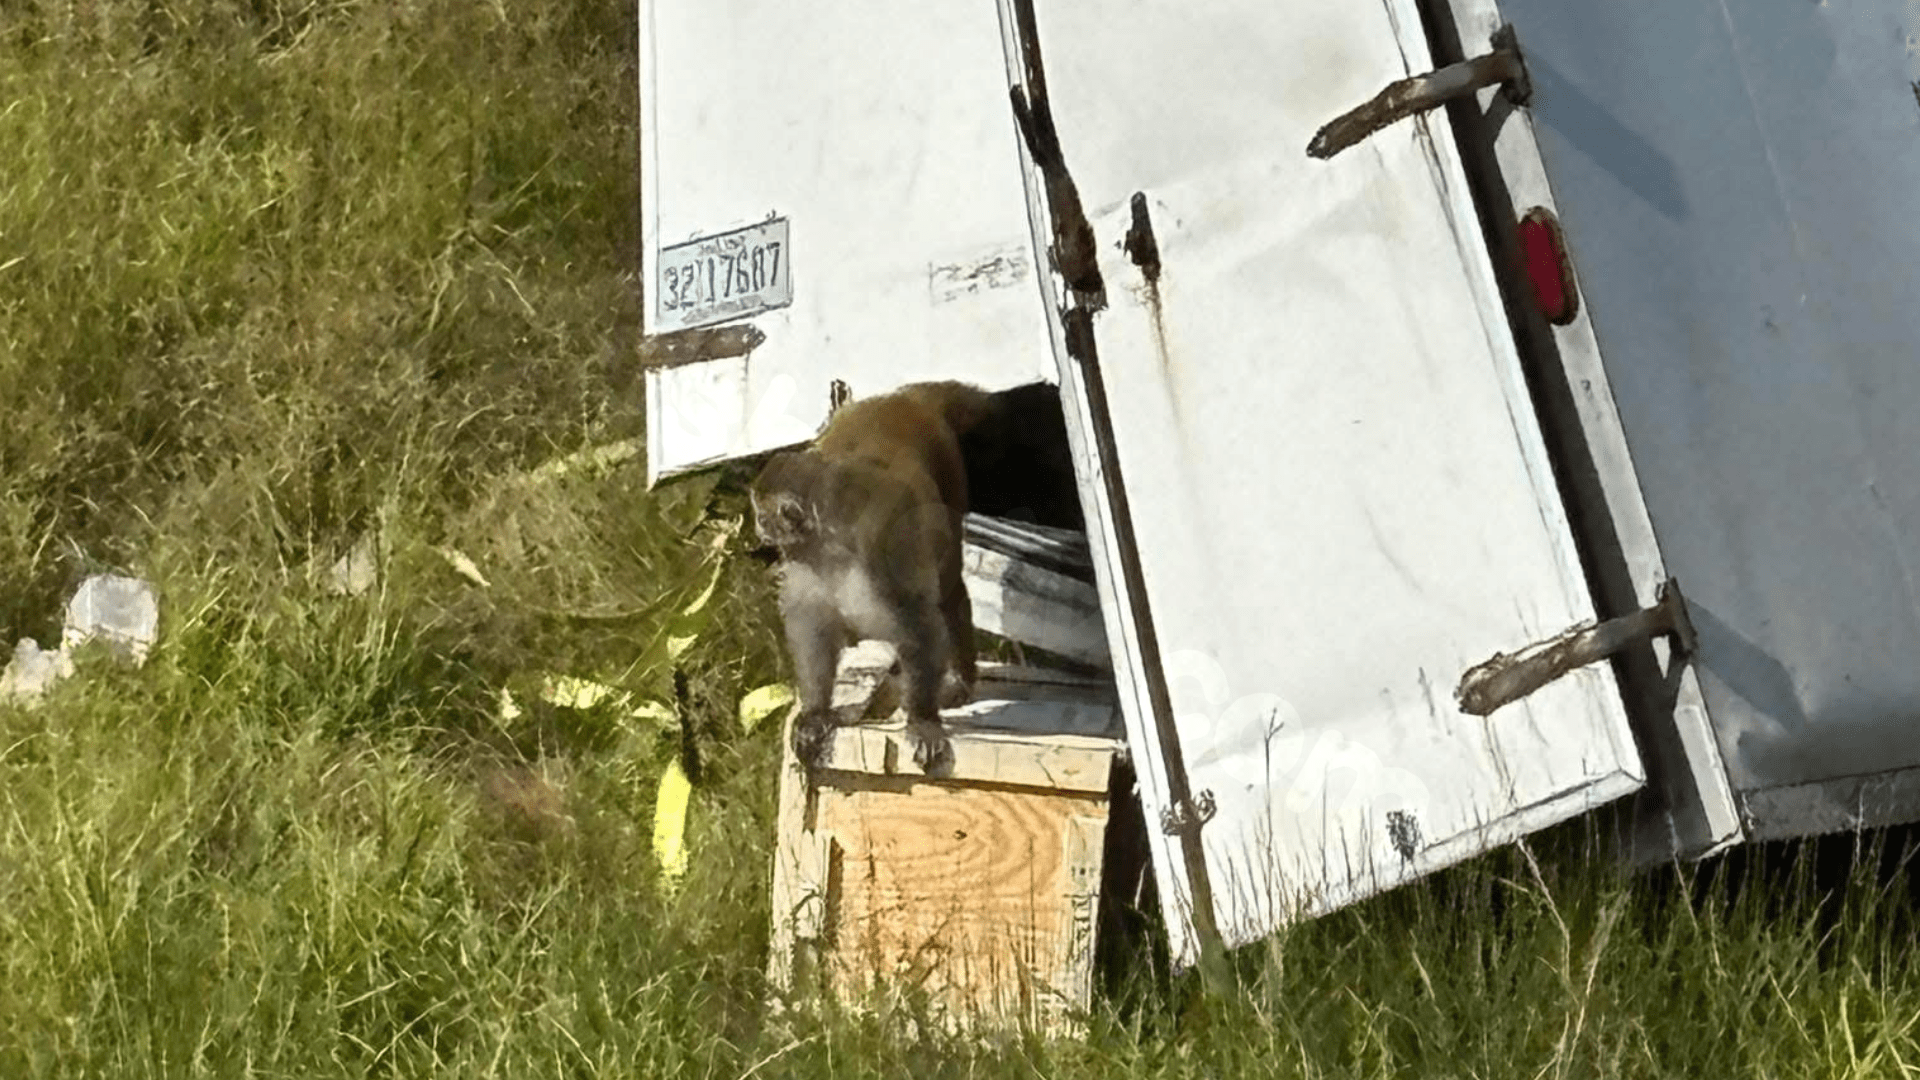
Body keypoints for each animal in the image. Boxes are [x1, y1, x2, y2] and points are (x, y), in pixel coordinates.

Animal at [751, 381, 992, 772]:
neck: (828, 543)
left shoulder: (880, 554)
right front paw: (816, 712)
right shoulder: (805, 562)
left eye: (761, 515)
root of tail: (901, 399)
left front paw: (922, 720)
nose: (759, 528)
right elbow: (812, 629)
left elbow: (919, 624)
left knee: (948, 590)